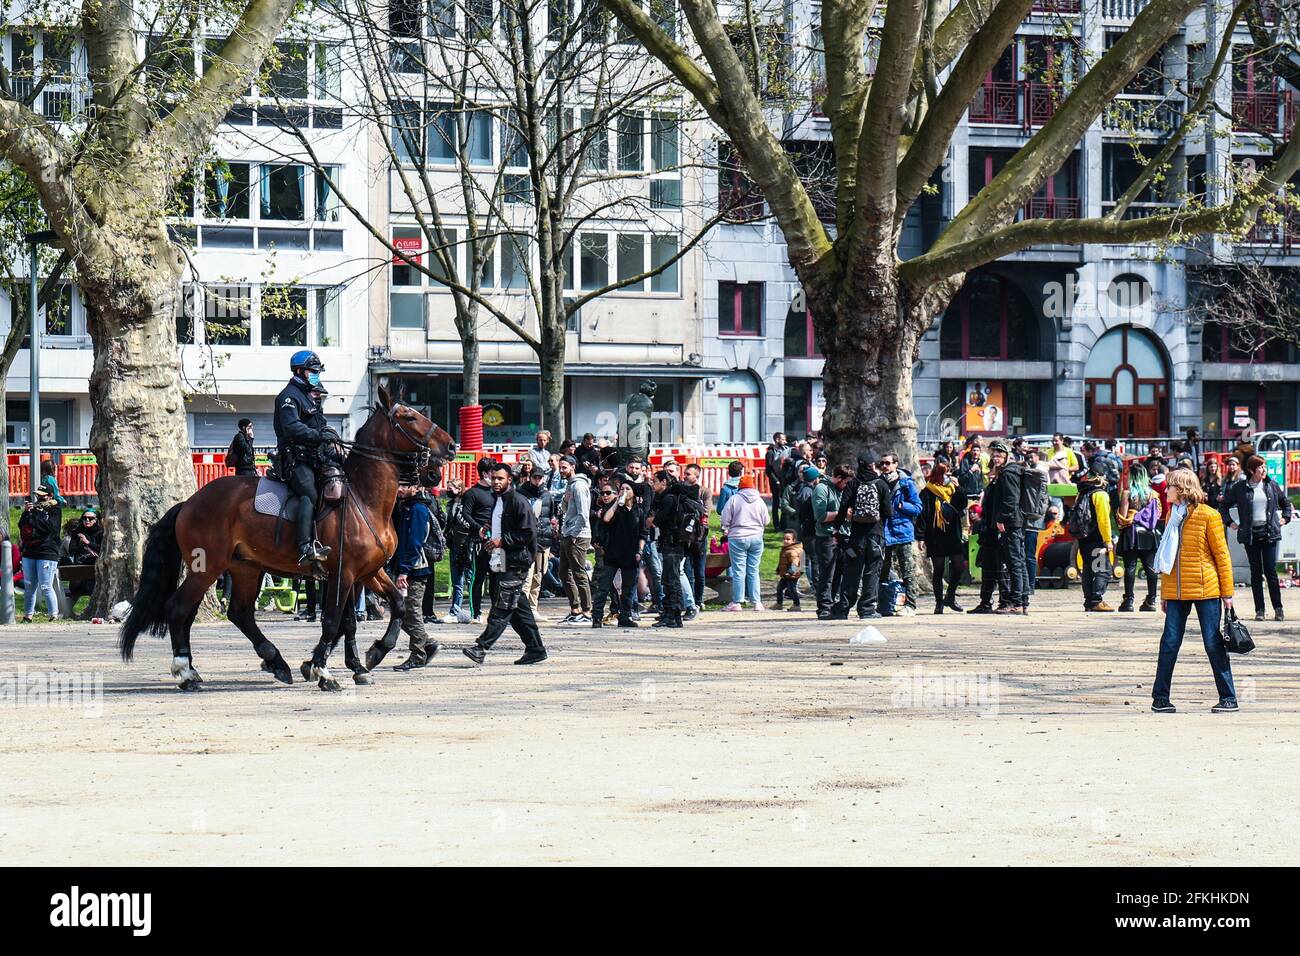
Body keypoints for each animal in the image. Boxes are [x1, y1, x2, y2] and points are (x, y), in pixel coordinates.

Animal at [116, 385, 460, 691]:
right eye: (410, 416)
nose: (451, 446)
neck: (363, 498)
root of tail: (189, 502)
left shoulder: (365, 573)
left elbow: (389, 608)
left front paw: (367, 659)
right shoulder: (344, 574)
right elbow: (333, 621)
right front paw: (323, 670)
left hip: (245, 568)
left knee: (238, 613)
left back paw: (273, 662)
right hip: (207, 568)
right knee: (179, 608)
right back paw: (186, 673)